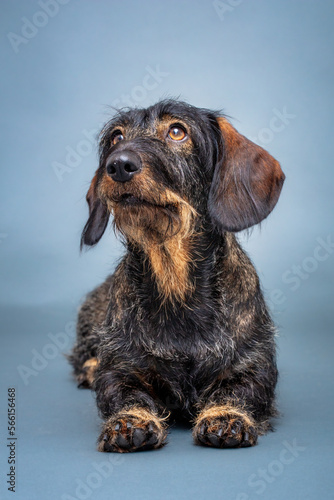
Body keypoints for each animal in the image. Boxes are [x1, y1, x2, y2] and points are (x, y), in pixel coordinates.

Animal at [68, 99, 284, 452]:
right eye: (116, 136)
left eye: (177, 131)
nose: (118, 165)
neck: (174, 283)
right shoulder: (120, 370)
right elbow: (124, 392)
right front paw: (130, 421)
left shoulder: (255, 367)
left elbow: (239, 391)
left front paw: (226, 416)